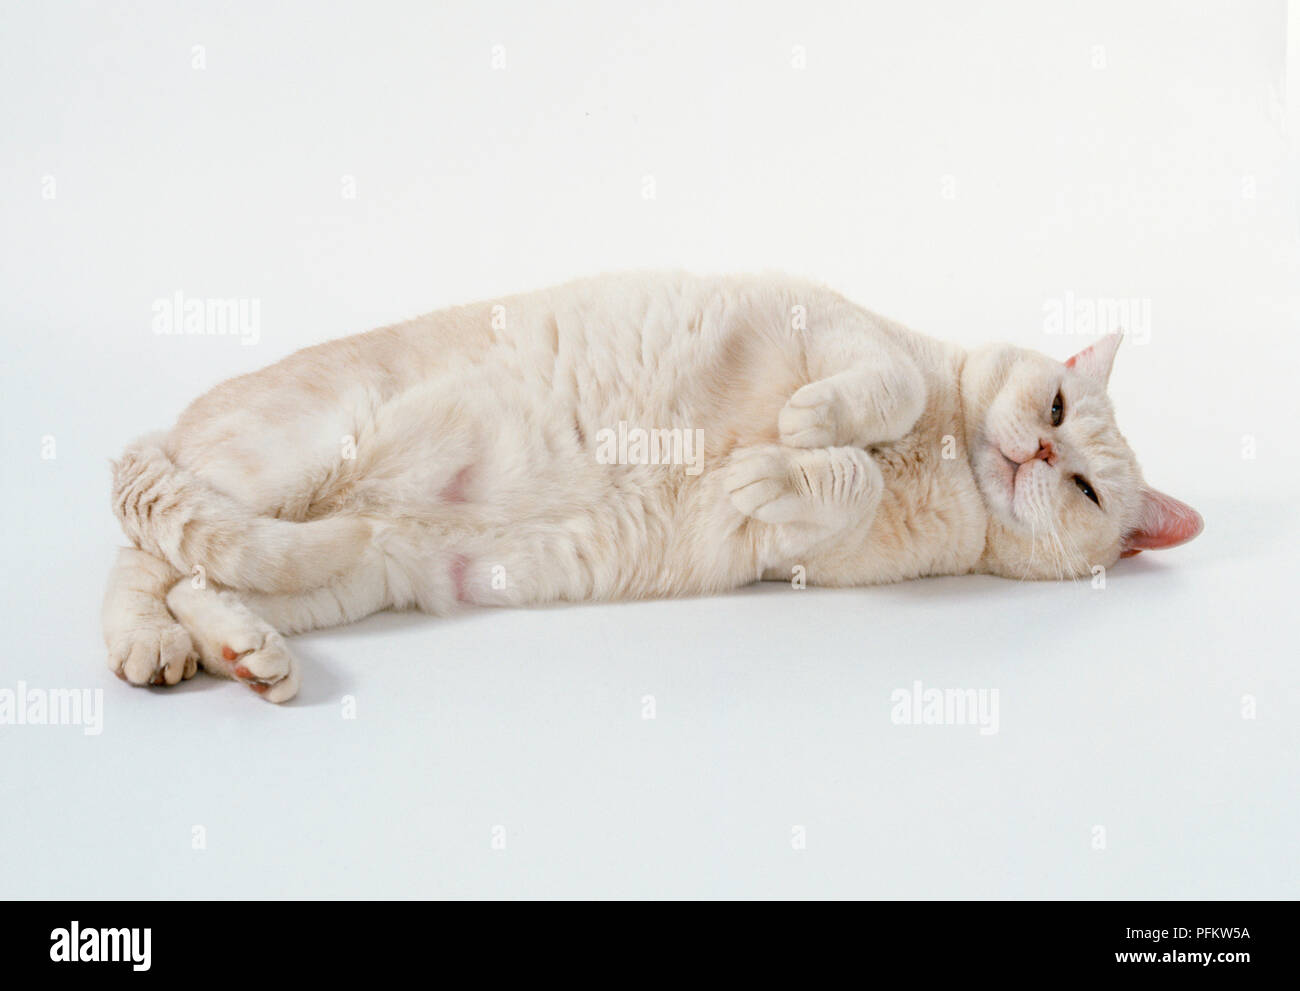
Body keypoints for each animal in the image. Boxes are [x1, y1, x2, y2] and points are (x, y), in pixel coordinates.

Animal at [98, 274, 1196, 697]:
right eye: (1056, 405)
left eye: (1087, 492)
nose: (1040, 456)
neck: (945, 456)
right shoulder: (839, 327)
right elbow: (880, 391)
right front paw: (801, 432)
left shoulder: (808, 554)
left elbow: (834, 484)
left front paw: (771, 467)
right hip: (290, 455)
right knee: (137, 557)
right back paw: (153, 648)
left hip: (352, 571)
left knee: (196, 579)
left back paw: (242, 655)